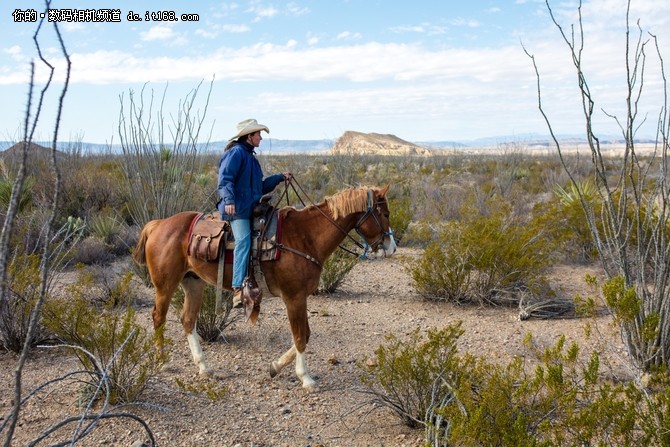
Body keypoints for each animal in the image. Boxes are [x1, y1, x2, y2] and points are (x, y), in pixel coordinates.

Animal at [133, 184, 400, 390]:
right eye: (385, 213)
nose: (392, 247)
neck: (305, 236)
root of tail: (158, 224)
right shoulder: (294, 297)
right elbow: (300, 336)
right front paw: (306, 378)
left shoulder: (300, 297)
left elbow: (305, 335)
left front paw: (275, 367)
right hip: (165, 285)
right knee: (158, 317)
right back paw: (164, 361)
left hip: (193, 283)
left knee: (188, 320)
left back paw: (204, 367)